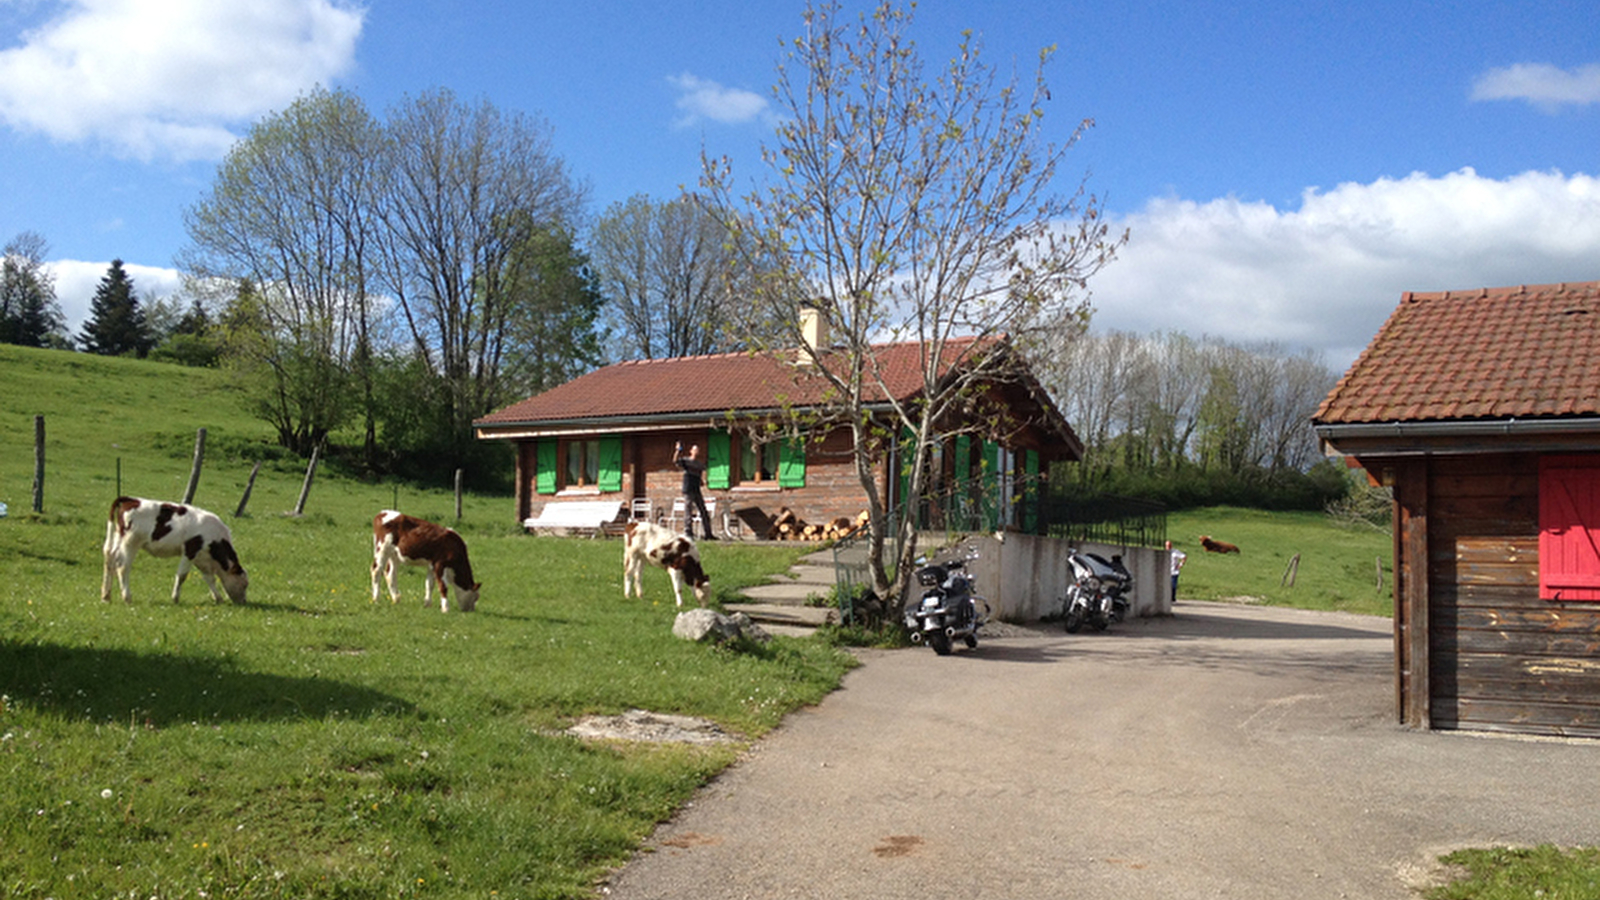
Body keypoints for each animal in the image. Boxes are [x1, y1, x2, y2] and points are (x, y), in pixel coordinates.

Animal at [103, 496, 248, 602]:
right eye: (245, 584)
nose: (243, 602)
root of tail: (132, 500)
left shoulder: (201, 559)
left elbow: (209, 578)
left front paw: (218, 598)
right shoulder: (190, 551)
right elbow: (182, 575)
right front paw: (175, 598)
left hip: (118, 538)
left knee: (110, 558)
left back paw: (106, 596)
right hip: (130, 543)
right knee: (122, 566)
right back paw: (127, 597)